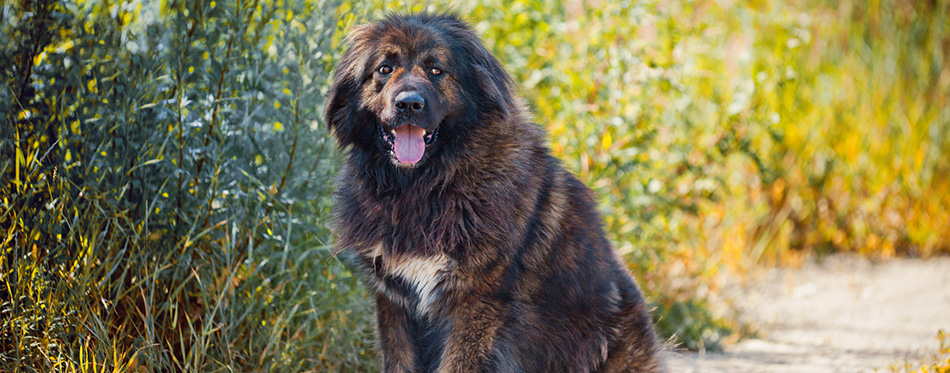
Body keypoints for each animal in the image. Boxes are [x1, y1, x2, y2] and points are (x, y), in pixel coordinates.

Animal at [326, 12, 660, 372]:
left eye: (436, 70)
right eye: (384, 69)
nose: (409, 104)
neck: (424, 187)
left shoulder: (477, 302)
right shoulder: (394, 301)